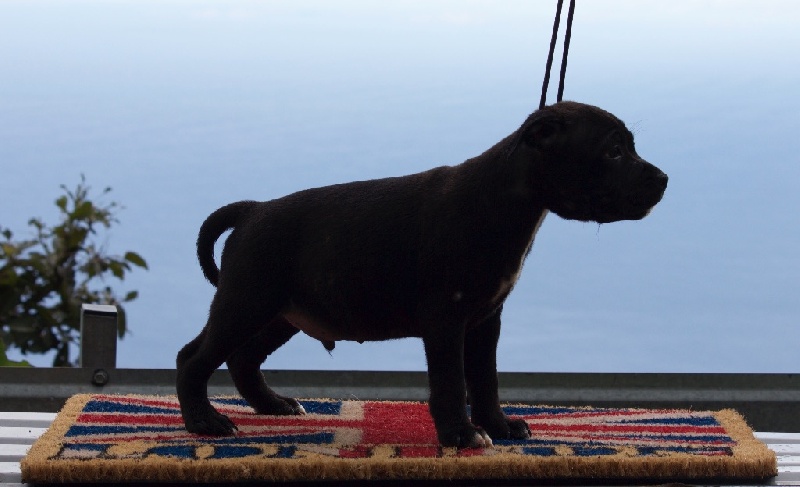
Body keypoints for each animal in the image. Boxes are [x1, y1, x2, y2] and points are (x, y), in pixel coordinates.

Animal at [176, 101, 668, 448]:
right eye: (613, 152)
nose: (663, 179)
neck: (504, 199)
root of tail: (252, 210)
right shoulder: (446, 320)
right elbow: (451, 380)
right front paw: (460, 435)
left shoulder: (485, 321)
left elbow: (486, 379)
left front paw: (498, 425)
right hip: (247, 302)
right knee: (194, 357)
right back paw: (204, 422)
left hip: (282, 313)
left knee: (243, 357)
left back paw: (273, 405)